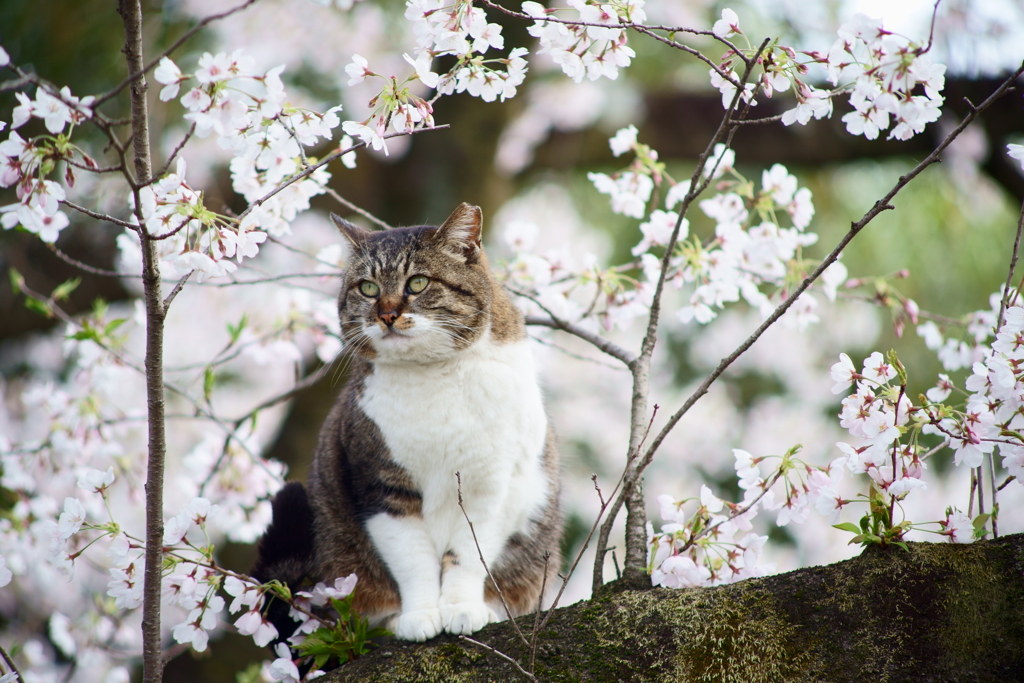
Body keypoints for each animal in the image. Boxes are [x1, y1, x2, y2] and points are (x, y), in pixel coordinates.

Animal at [252, 201, 565, 643]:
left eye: (417, 283)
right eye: (367, 288)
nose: (387, 314)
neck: (435, 374)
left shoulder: (491, 485)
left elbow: (469, 554)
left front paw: (463, 608)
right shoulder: (381, 485)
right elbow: (413, 559)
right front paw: (420, 616)